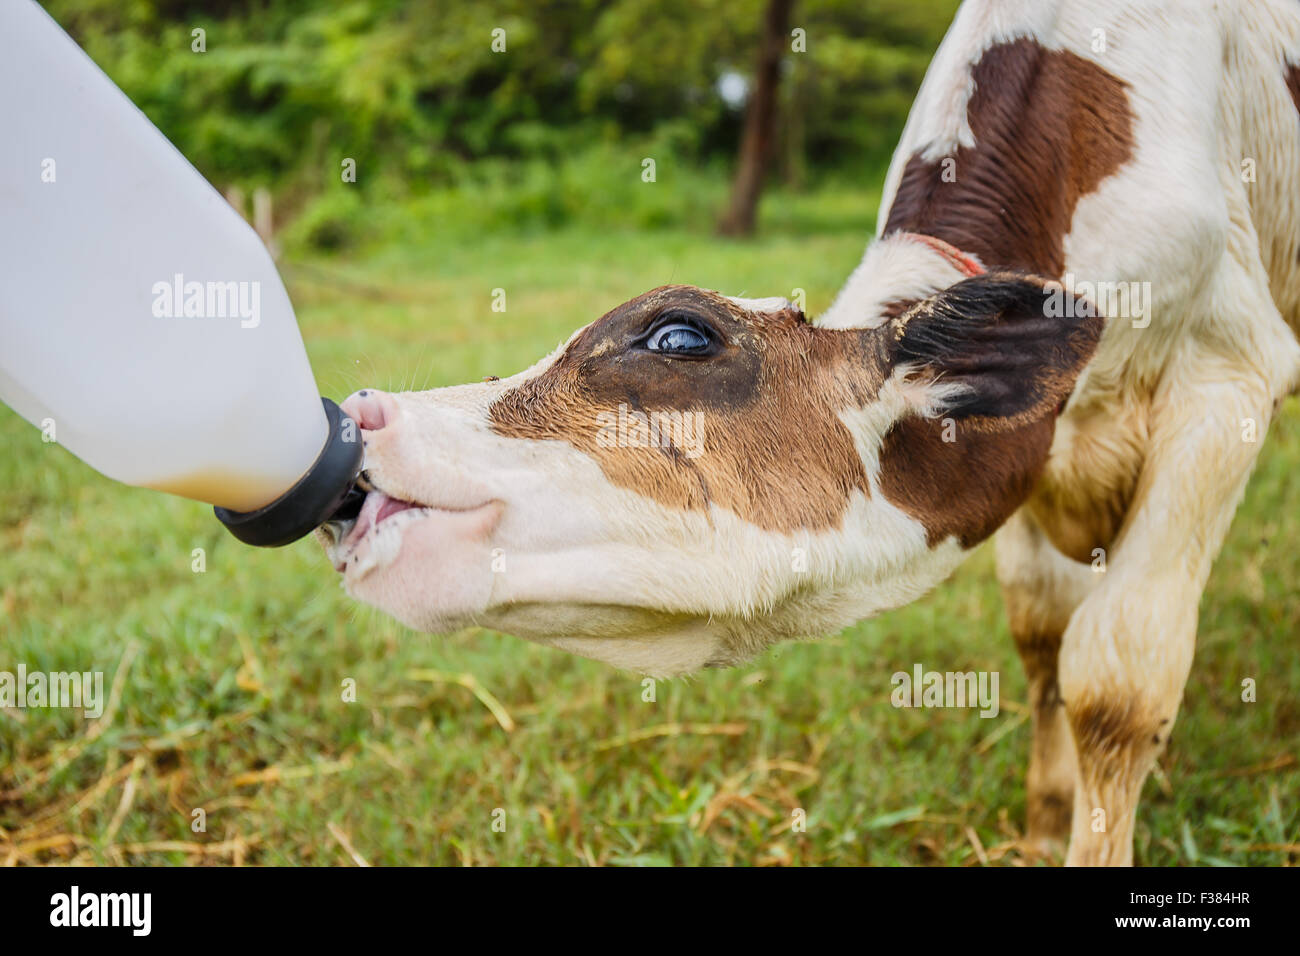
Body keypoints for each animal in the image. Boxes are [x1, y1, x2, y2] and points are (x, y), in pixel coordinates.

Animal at [319, 0, 1300, 868]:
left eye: (679, 337)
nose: (363, 413)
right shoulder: (1032, 448)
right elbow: (1041, 636)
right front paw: (1044, 826)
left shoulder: (1228, 380)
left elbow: (1117, 685)